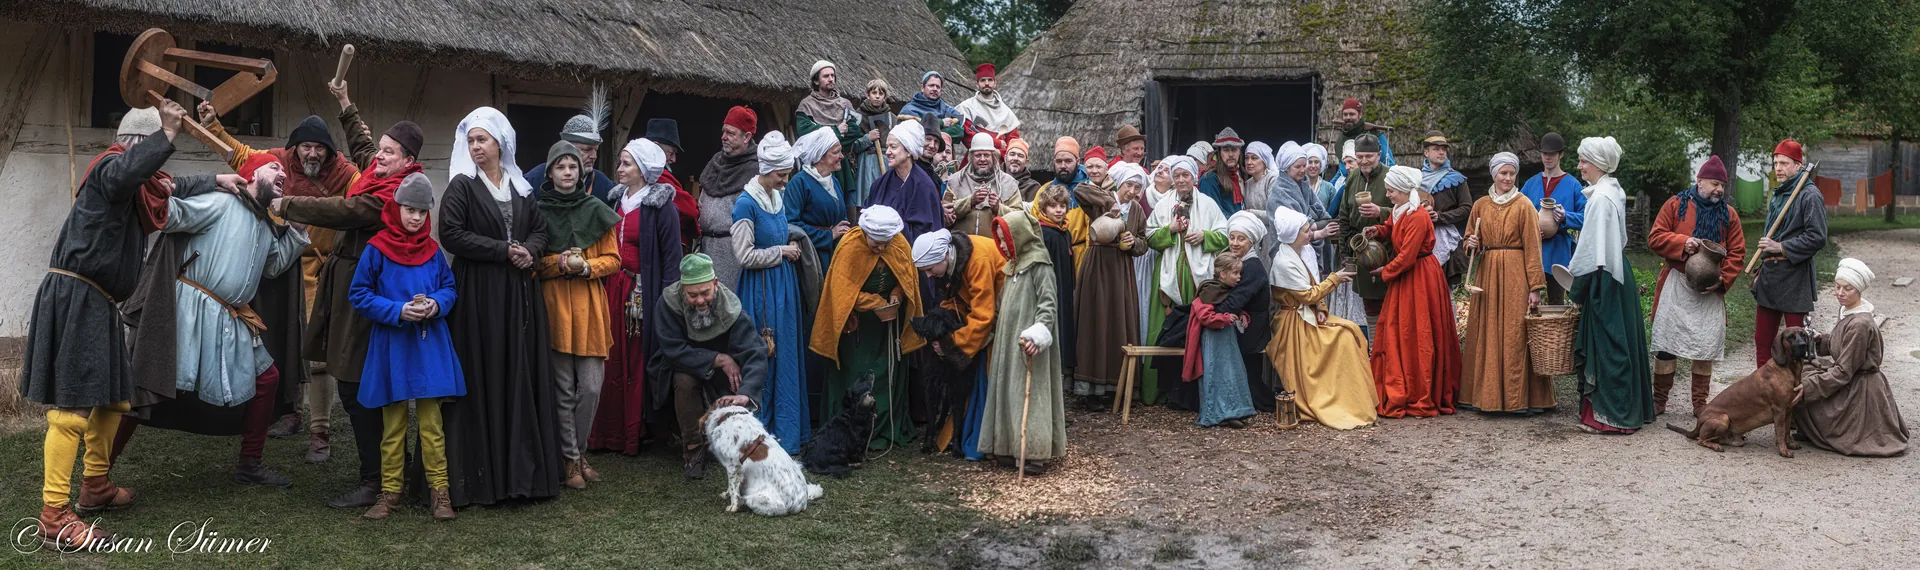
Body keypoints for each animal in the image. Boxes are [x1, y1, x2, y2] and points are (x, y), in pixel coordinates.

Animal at [910, 307, 975, 452]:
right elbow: (930, 420)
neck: (944, 359)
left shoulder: (958, 392)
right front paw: (927, 445)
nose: (910, 319)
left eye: (929, 318)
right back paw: (939, 424)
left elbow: (957, 421)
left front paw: (956, 448)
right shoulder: (932, 390)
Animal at [1666, 326, 1812, 454]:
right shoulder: (1779, 410)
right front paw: (1783, 450)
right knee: (1700, 440)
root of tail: (1698, 423)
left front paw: (1790, 443)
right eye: (1790, 337)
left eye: (1803, 335)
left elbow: (1786, 431)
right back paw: (1715, 446)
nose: (1802, 345)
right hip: (1723, 419)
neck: (1788, 369)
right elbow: (1781, 432)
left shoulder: (1788, 410)